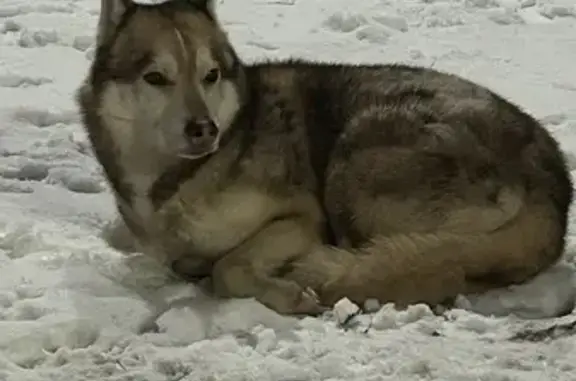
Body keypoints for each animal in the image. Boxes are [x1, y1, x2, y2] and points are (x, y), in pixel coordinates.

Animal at [77, 0, 572, 314]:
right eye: (155, 77)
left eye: (210, 75)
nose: (204, 129)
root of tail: (552, 182)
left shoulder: (302, 218)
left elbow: (228, 268)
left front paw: (288, 294)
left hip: (353, 162)